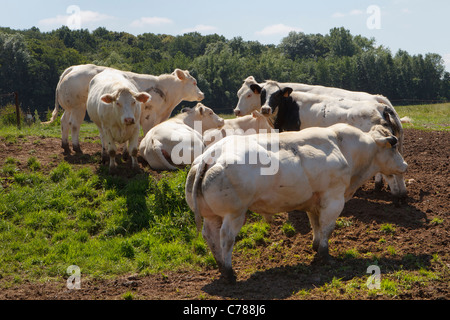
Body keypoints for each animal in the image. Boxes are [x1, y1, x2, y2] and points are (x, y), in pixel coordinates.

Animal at [44, 63, 204, 154]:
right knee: (74, 124)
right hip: (78, 107)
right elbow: (147, 133)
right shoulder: (148, 117)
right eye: (194, 83)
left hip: (69, 107)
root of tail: (73, 68)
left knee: (64, 122)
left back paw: (65, 146)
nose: (202, 94)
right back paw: (77, 148)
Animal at [186, 123, 408, 282]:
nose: (405, 165)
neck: (343, 148)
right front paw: (325, 256)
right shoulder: (333, 199)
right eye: (393, 146)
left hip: (212, 215)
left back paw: (220, 266)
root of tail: (210, 155)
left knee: (210, 236)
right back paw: (229, 272)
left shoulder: (313, 201)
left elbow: (316, 225)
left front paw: (316, 246)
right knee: (226, 238)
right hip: (234, 214)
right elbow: (327, 227)